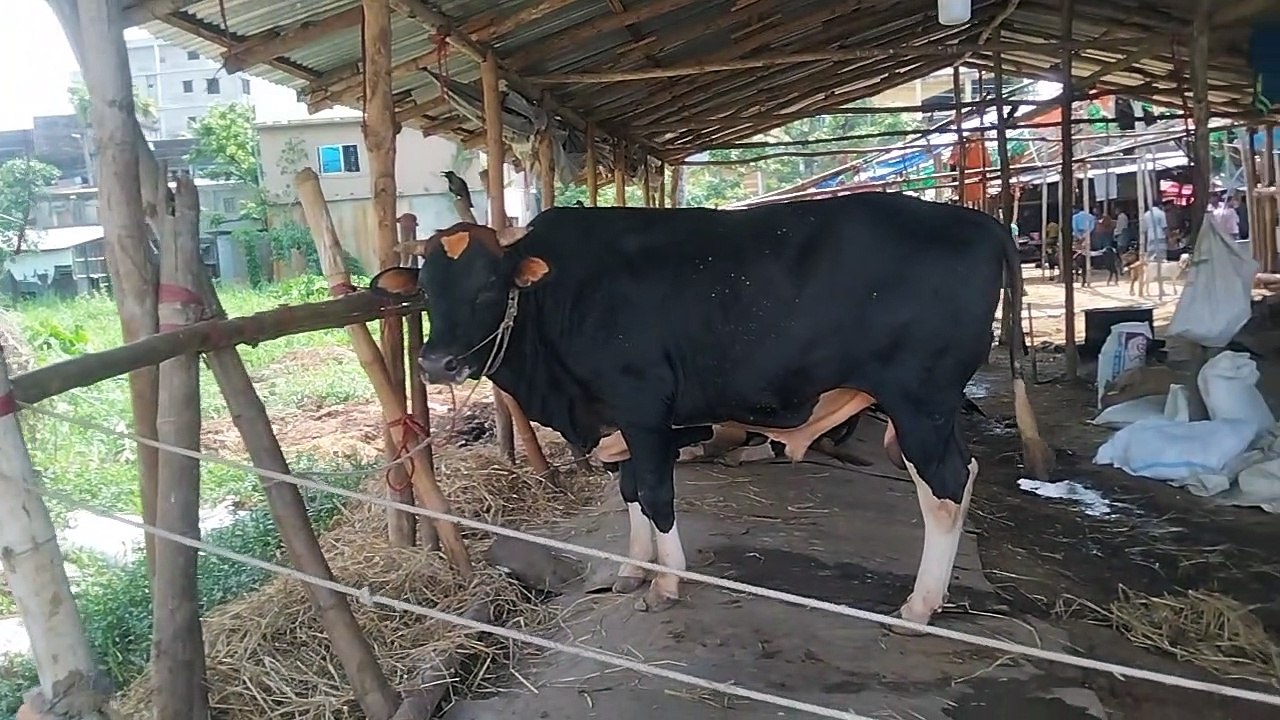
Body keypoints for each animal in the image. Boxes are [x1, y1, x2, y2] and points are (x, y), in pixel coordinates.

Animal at [370, 192, 1053, 628]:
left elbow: (655, 491)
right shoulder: (619, 417)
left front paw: (667, 582)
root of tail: (979, 221)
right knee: (957, 478)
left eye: (489, 284)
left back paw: (918, 608)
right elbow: (630, 493)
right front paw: (632, 571)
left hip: (920, 400)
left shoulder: (643, 404)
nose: (436, 364)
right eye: (426, 287)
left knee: (945, 487)